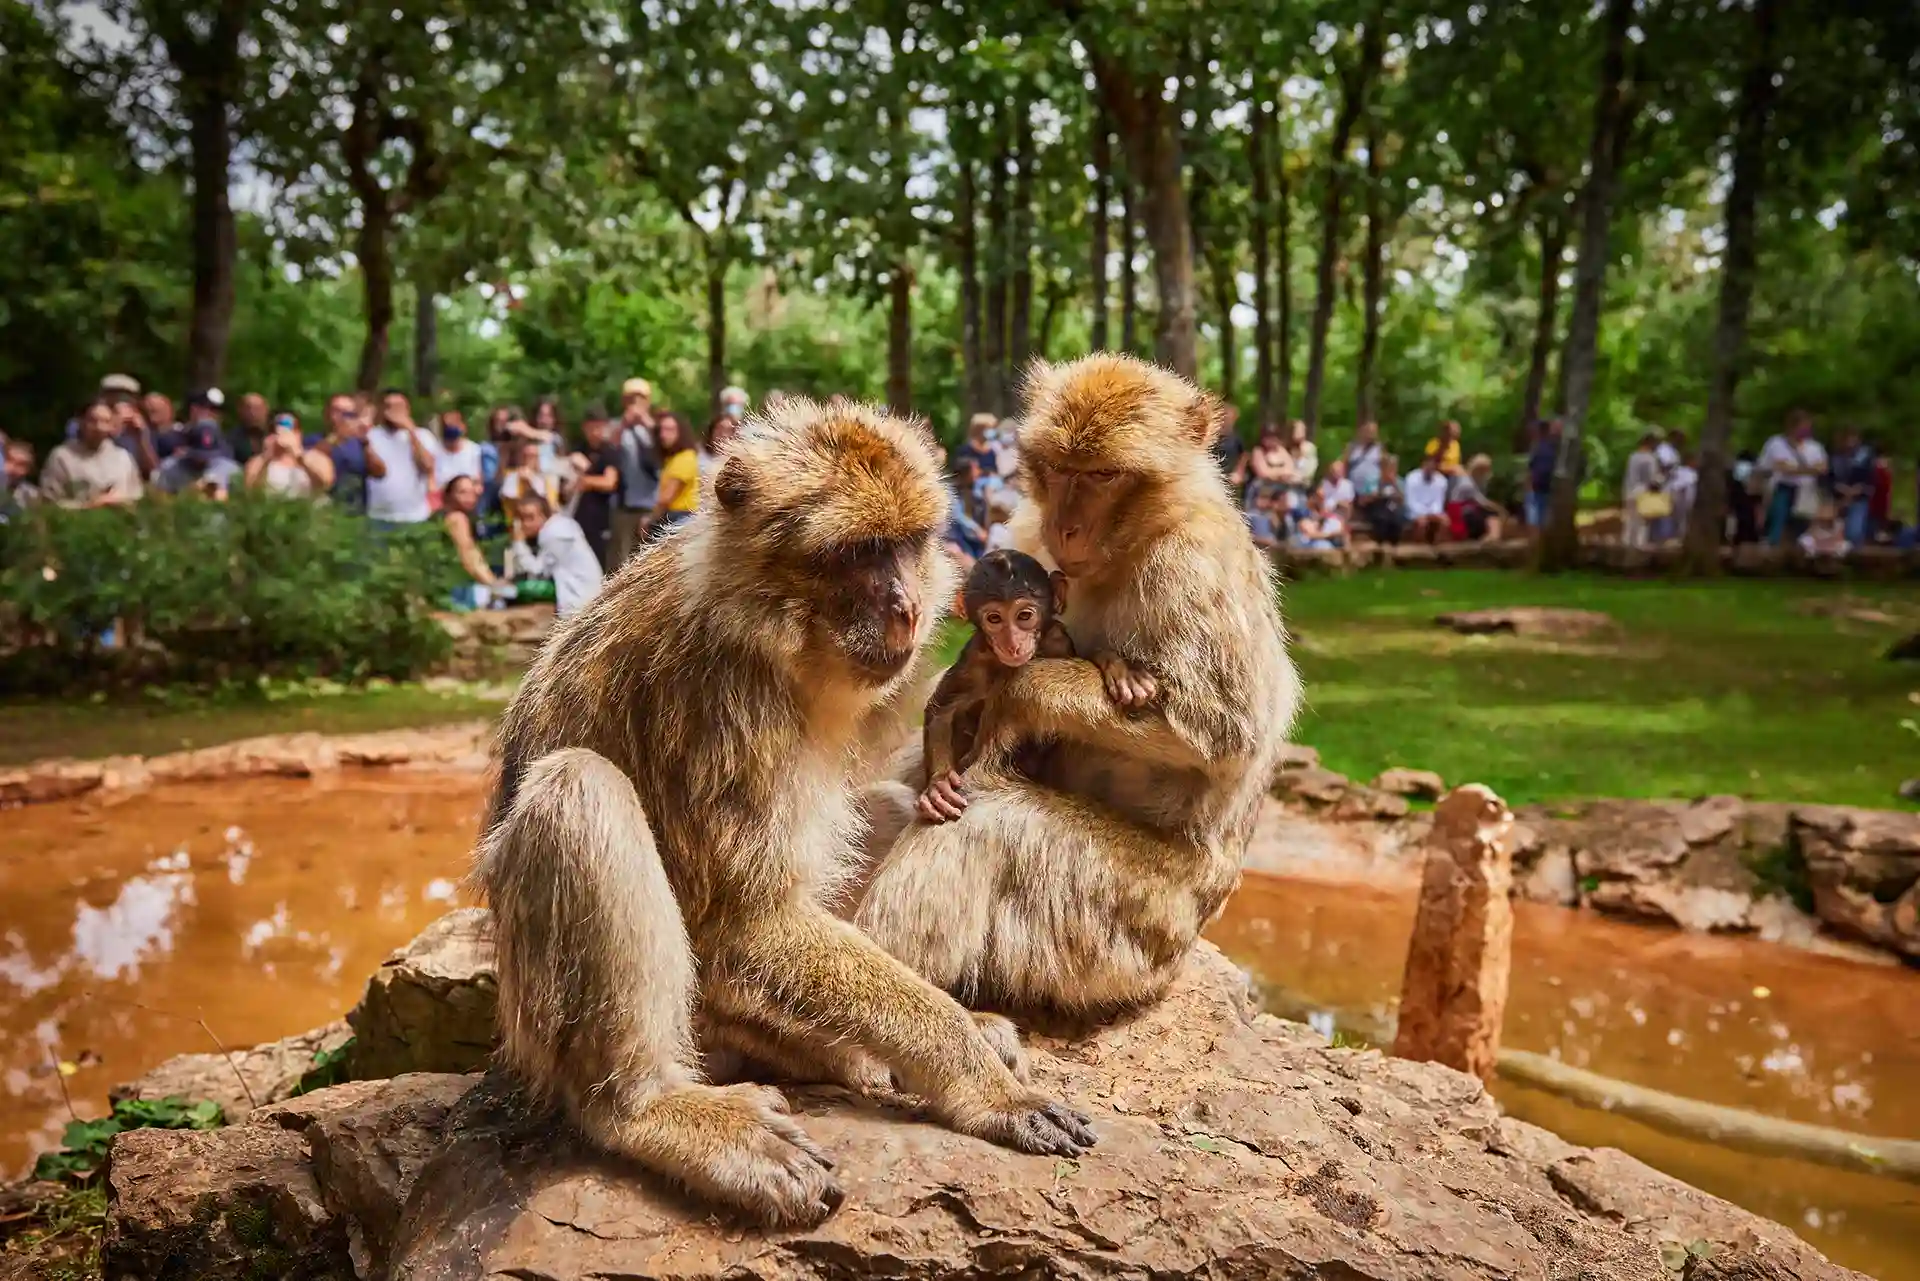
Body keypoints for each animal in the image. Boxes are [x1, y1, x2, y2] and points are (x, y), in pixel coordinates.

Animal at [917, 553, 1082, 821]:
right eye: (994, 619)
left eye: (1024, 616)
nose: (1013, 644)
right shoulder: (975, 656)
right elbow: (941, 710)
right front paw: (938, 786)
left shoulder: (1058, 642)